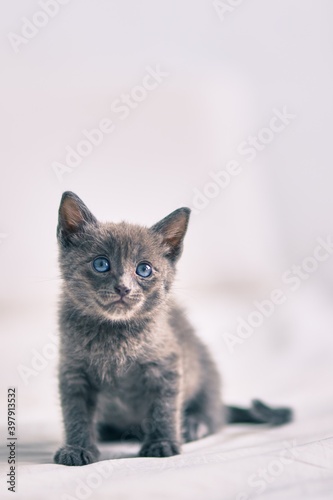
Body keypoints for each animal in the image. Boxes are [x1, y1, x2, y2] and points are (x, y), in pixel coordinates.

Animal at [53, 191, 290, 464]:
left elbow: (163, 407)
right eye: (101, 264)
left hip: (205, 368)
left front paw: (162, 443)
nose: (123, 288)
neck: (115, 334)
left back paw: (194, 425)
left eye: (144, 269)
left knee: (215, 414)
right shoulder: (73, 370)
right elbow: (76, 412)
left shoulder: (166, 363)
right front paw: (77, 448)